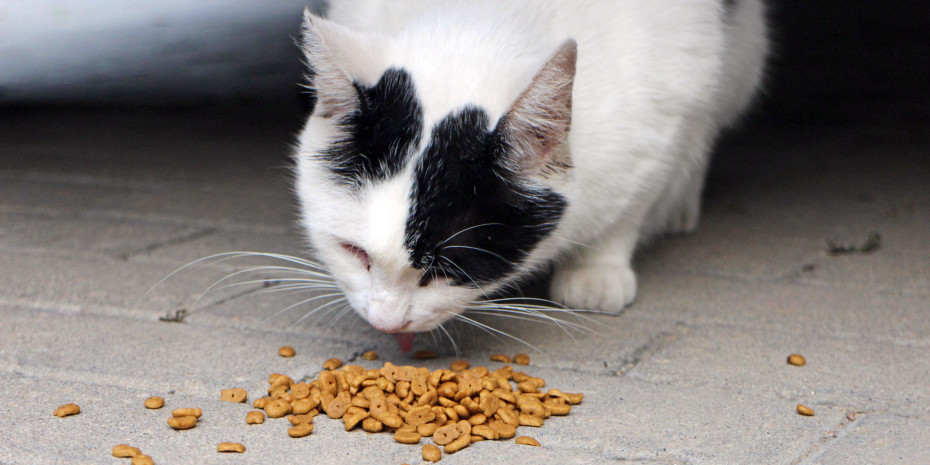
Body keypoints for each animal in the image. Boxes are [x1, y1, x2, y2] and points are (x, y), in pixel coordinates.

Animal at [292, 0, 768, 340]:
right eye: (354, 251)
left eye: (447, 267)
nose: (387, 323)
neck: (483, 19)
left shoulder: (667, 113)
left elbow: (633, 201)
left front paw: (597, 269)